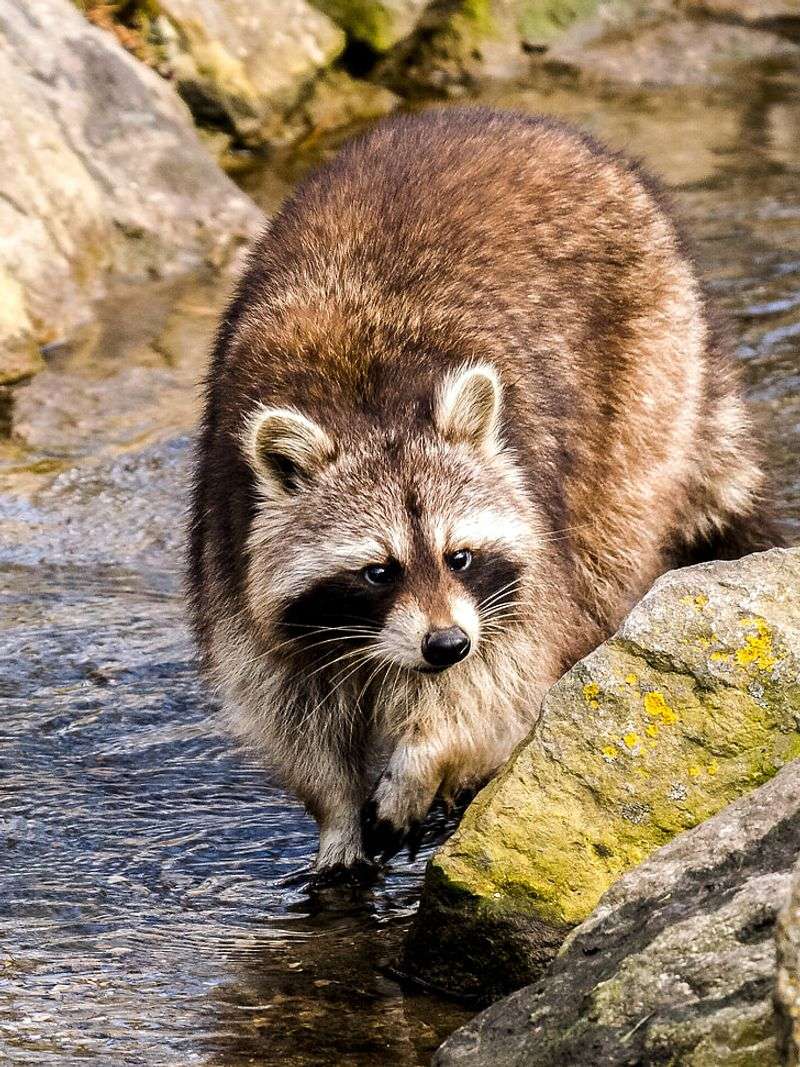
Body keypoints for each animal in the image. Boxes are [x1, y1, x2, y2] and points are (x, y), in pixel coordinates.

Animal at [189, 107, 779, 877]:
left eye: (460, 555)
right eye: (378, 571)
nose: (444, 644)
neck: (366, 407)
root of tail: (513, 119)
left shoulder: (520, 561)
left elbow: (496, 677)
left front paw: (424, 760)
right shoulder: (231, 538)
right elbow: (285, 702)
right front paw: (335, 815)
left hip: (647, 376)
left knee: (603, 563)